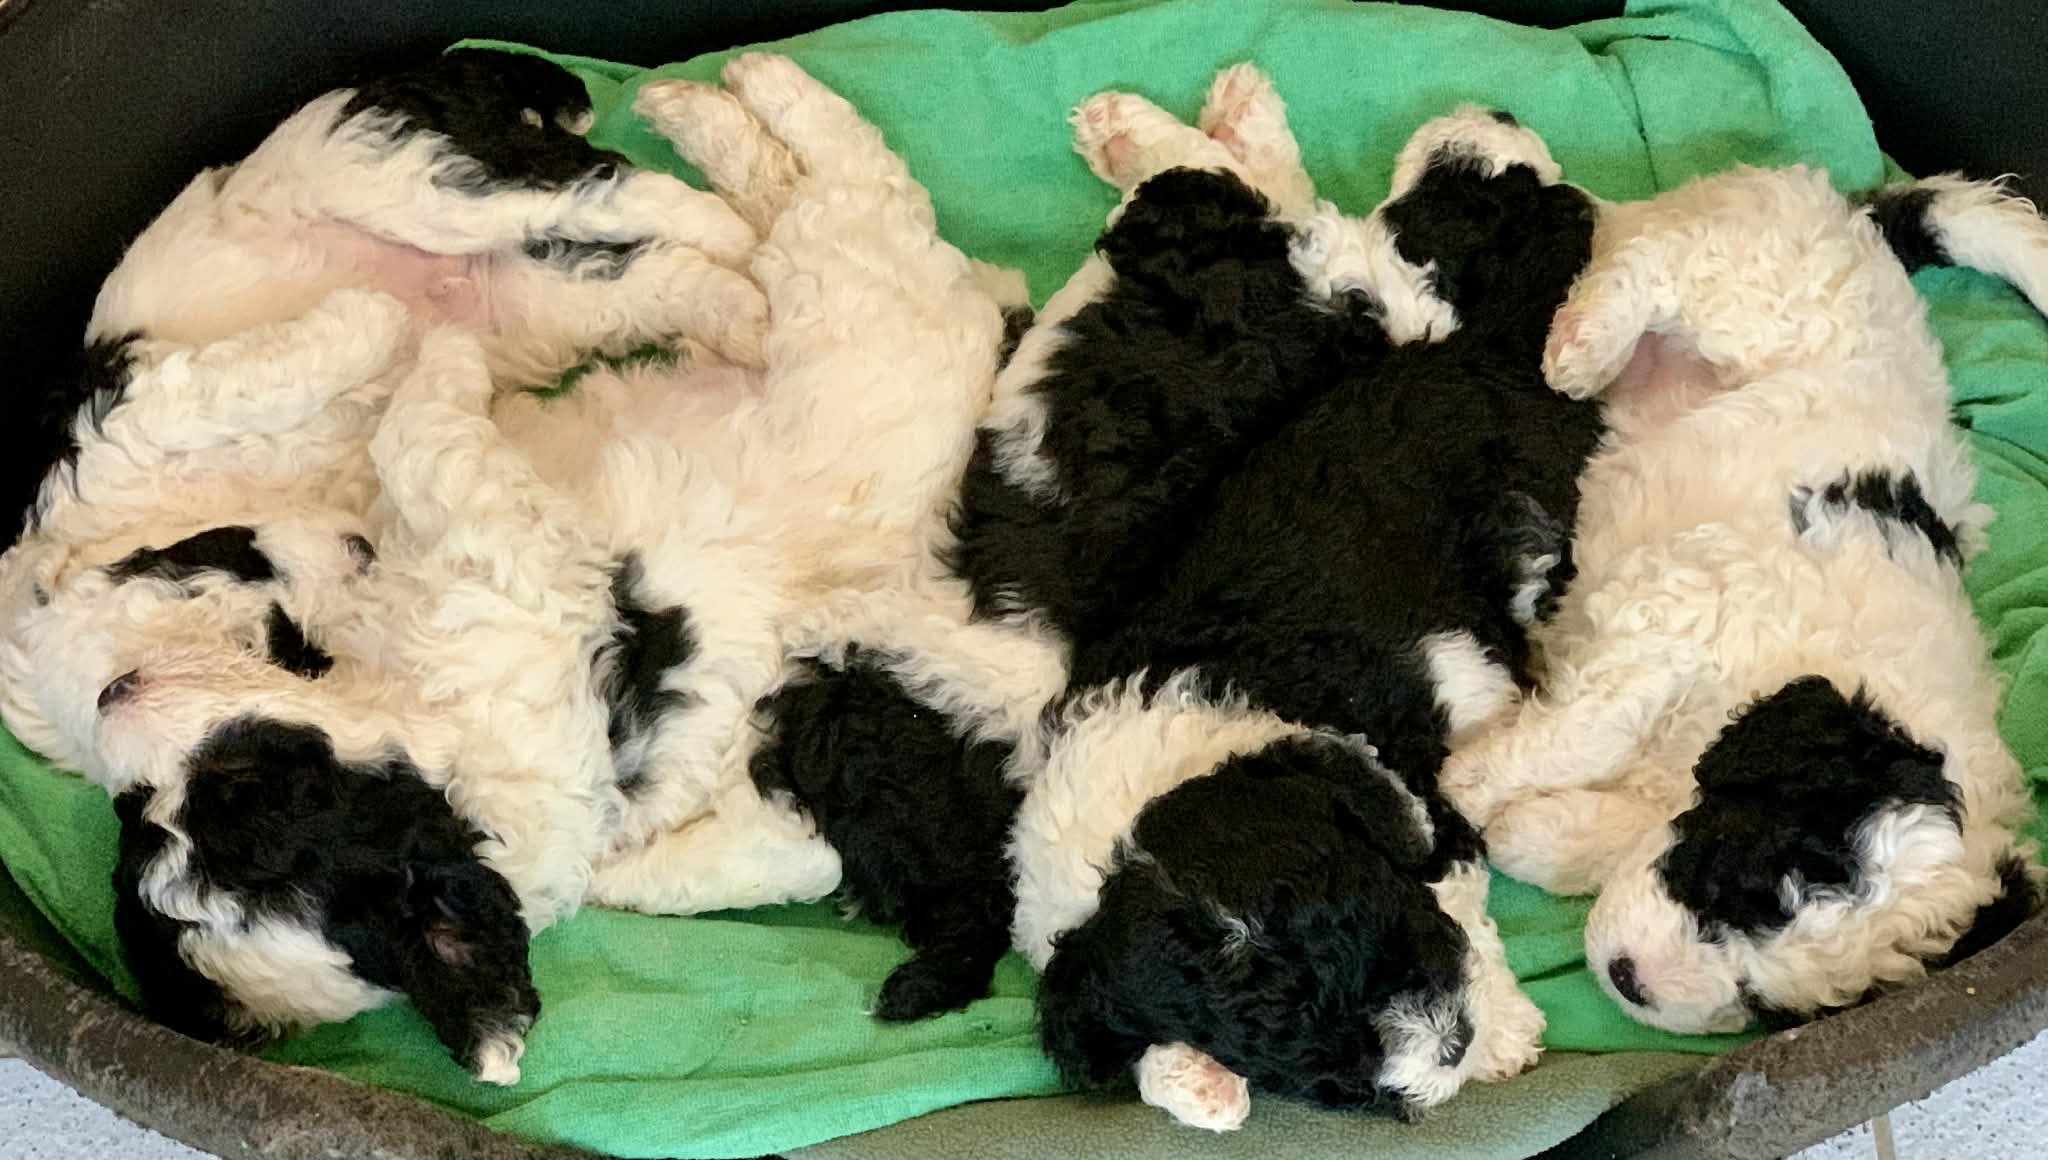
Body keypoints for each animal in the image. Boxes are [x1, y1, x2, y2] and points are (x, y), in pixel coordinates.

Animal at [1442, 166, 2048, 1035]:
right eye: (1737, 886)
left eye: (1765, 1004)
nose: (1628, 982)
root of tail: (1859, 221)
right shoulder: (1685, 608)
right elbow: (1589, 730)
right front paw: (1470, 782)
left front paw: (1530, 830)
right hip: (1763, 291)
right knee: (1664, 260)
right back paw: (1581, 347)